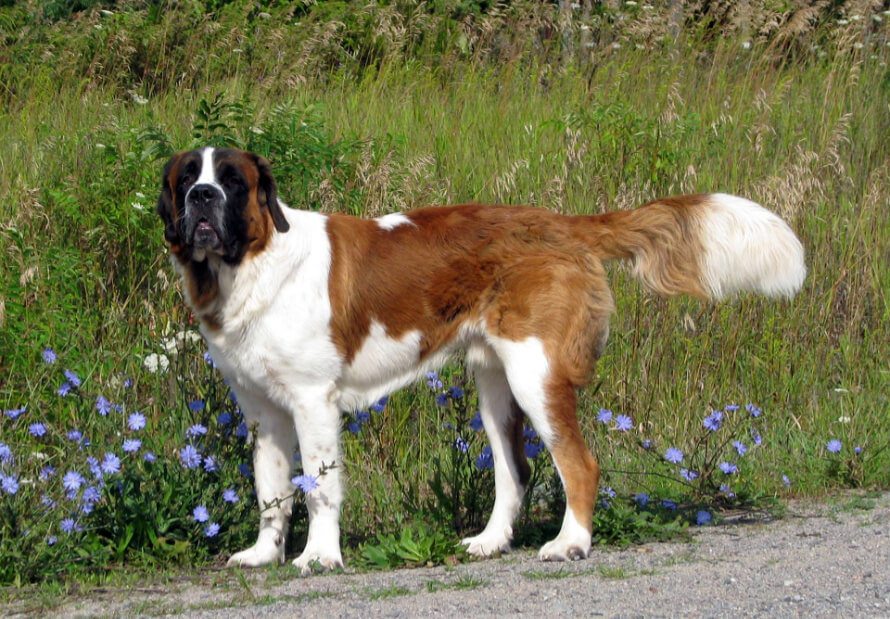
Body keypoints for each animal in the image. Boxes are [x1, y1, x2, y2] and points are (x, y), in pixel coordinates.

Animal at [154, 148, 804, 572]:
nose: (202, 197)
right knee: (514, 471)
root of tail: (562, 223)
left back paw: (571, 544)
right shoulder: (262, 412)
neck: (250, 265)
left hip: (536, 374)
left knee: (579, 464)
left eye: (232, 182)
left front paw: (318, 557)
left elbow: (318, 486)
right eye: (188, 178)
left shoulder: (314, 401)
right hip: (496, 386)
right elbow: (271, 488)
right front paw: (263, 554)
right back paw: (491, 542)